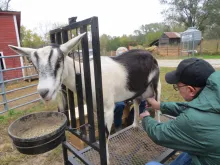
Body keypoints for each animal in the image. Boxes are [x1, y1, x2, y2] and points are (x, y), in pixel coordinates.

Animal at [8, 32, 162, 165]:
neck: (87, 76)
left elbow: (105, 136)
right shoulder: (95, 107)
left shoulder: (108, 108)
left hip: (156, 84)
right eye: (34, 65)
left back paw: (158, 126)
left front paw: (106, 160)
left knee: (158, 104)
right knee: (137, 101)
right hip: (138, 89)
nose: (44, 92)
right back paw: (135, 125)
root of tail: (149, 54)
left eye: (59, 61)